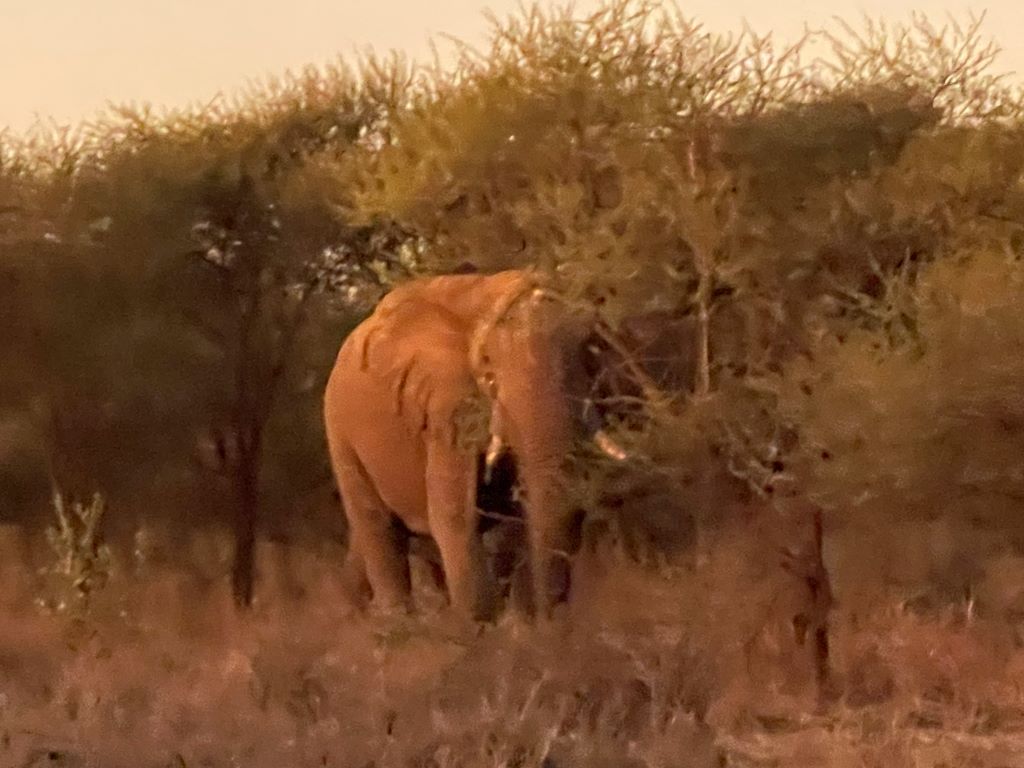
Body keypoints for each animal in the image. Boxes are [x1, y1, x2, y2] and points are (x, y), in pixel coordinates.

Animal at [321, 270, 622, 626]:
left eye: (588, 352)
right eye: (489, 373)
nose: (552, 620)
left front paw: (523, 625)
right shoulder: (445, 406)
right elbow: (452, 514)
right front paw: (476, 629)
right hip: (339, 430)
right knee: (376, 524)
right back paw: (395, 625)